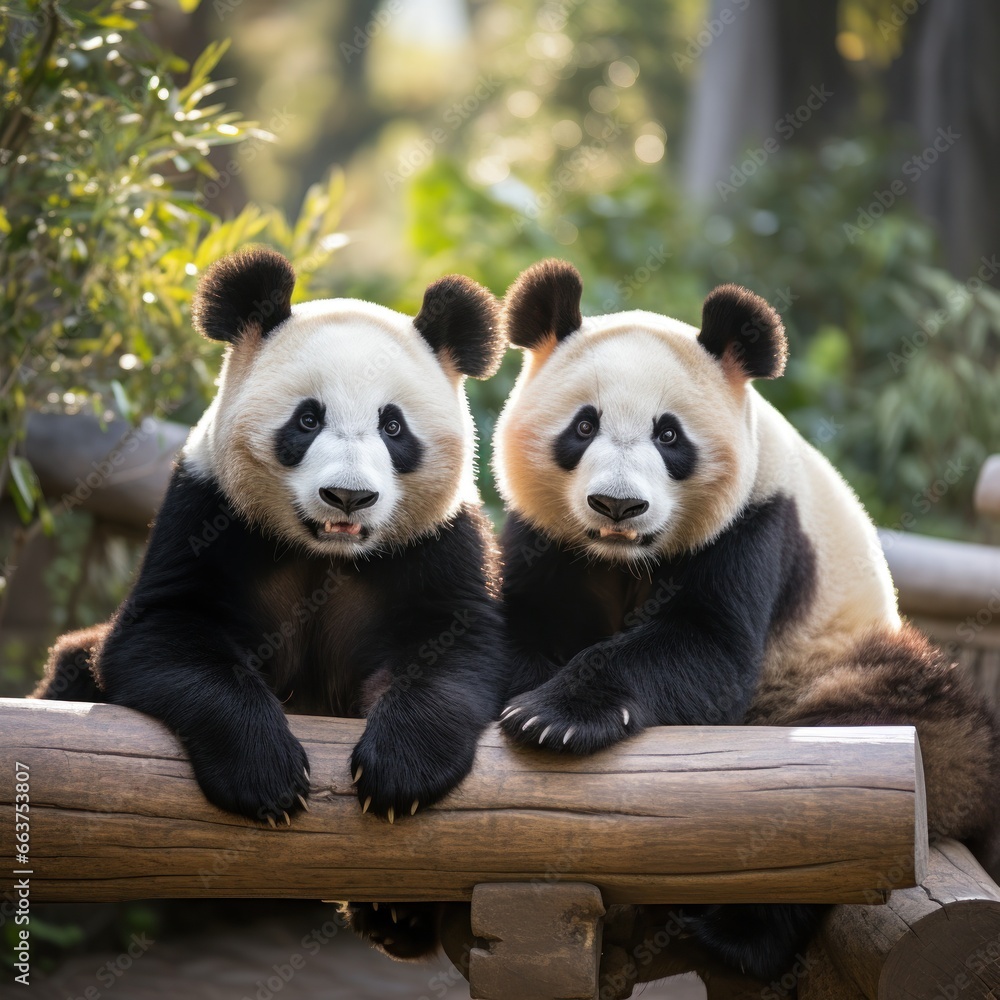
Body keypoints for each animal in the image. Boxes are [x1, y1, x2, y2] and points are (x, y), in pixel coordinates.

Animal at [490, 258, 1000, 976]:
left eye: (668, 435)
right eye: (583, 427)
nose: (617, 506)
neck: (624, 559)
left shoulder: (757, 524)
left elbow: (709, 648)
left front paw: (555, 717)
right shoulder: (547, 537)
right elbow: (514, 626)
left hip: (834, 675)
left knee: (869, 770)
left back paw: (739, 935)